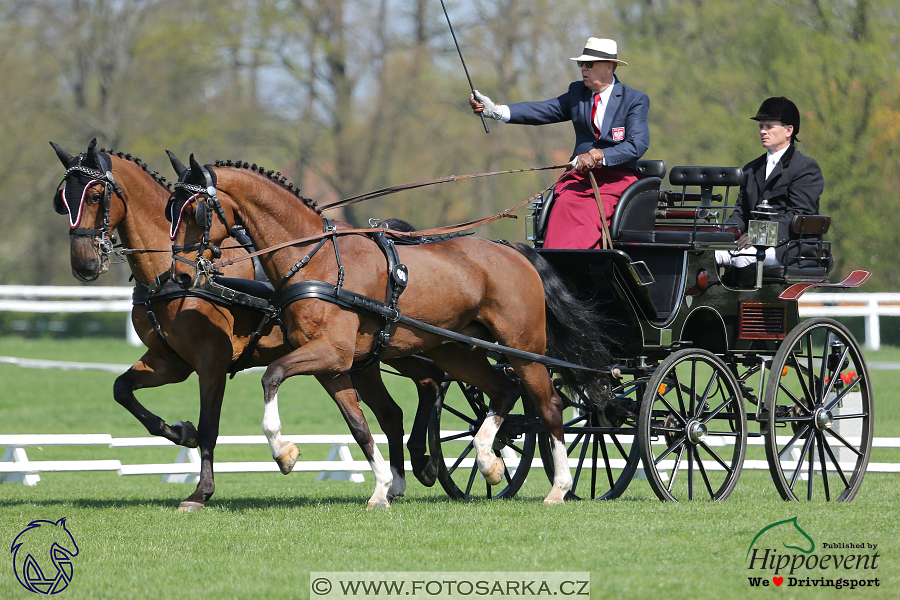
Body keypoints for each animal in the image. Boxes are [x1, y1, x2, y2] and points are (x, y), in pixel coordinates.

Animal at [49, 141, 442, 510]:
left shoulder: (211, 362)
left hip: (401, 347)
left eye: (95, 195)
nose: (83, 264)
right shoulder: (169, 361)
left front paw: (201, 492)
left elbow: (209, 428)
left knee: (430, 381)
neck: (170, 282)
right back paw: (400, 480)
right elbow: (123, 390)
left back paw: (425, 463)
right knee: (394, 411)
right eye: (63, 201)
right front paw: (179, 432)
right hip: (365, 360)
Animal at [165, 152, 608, 504]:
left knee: (549, 405)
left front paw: (283, 451)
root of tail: (513, 250)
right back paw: (489, 460)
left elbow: (271, 376)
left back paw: (559, 487)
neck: (315, 260)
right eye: (170, 211)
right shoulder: (336, 367)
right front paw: (381, 488)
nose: (181, 276)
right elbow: (360, 426)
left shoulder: (331, 354)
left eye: (195, 211)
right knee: (503, 391)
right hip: (455, 350)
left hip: (524, 347)